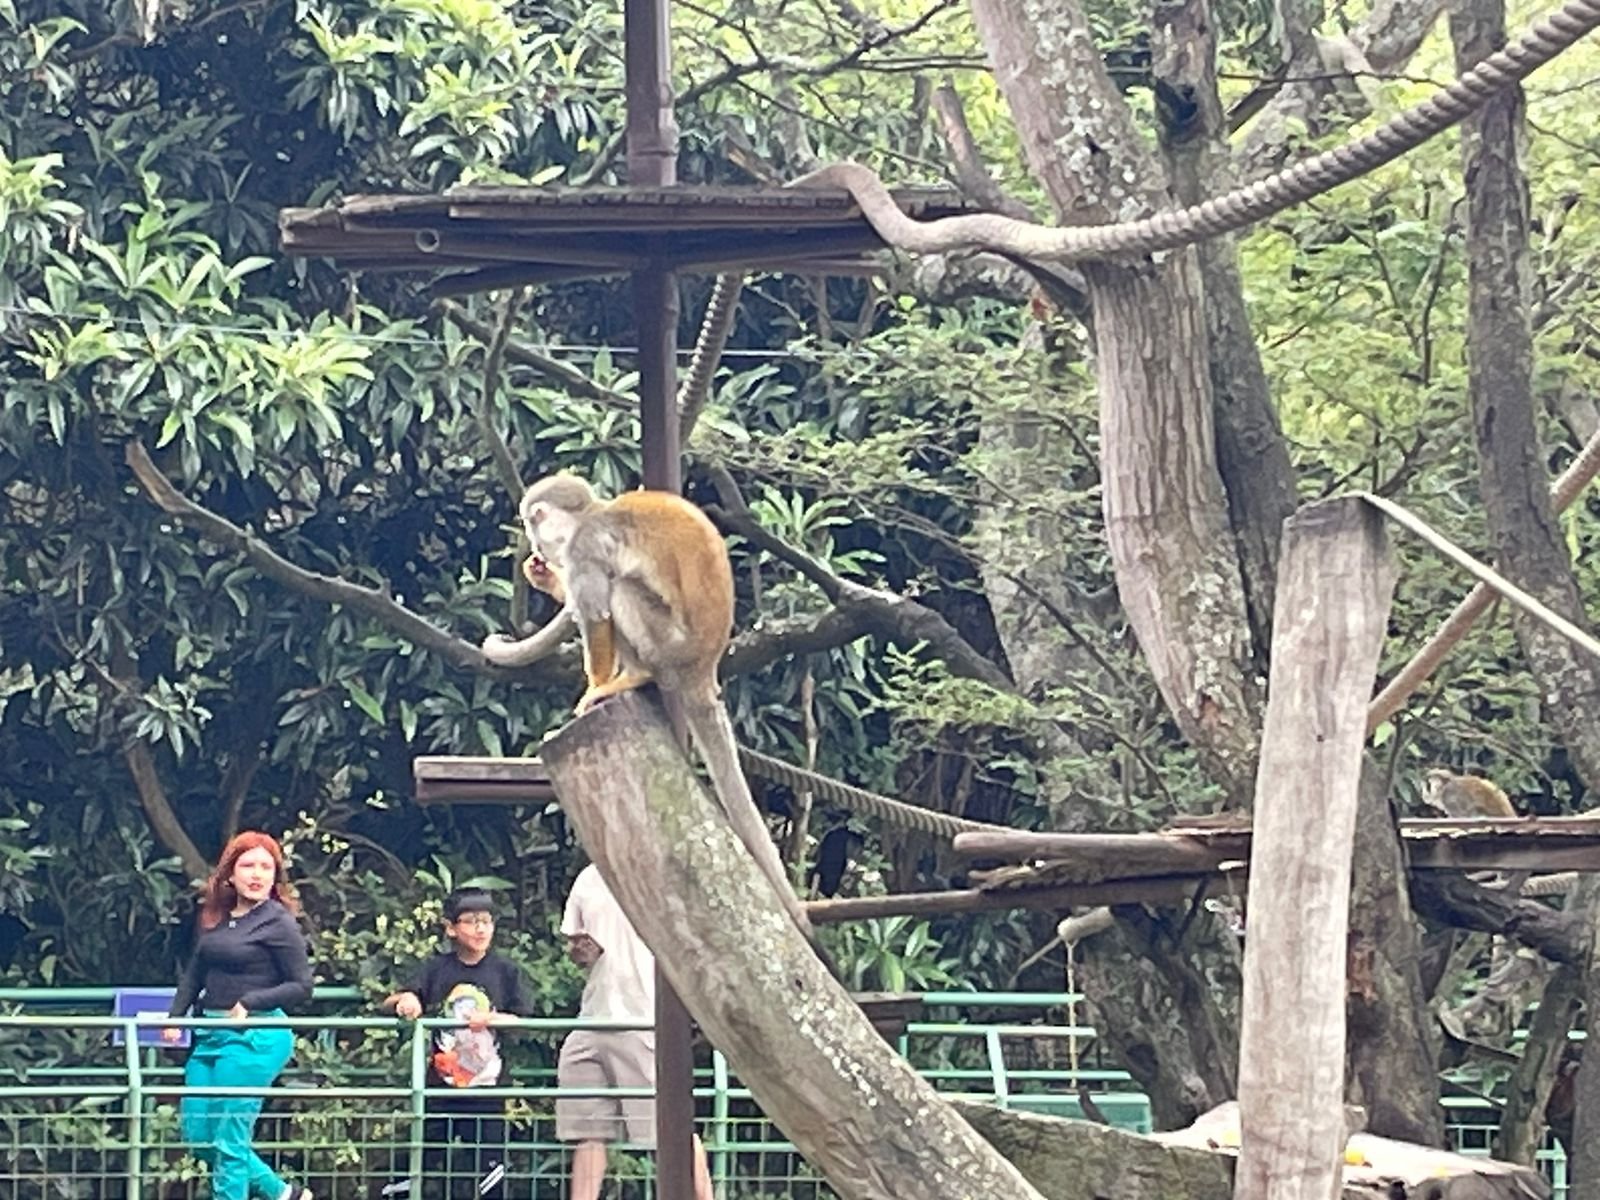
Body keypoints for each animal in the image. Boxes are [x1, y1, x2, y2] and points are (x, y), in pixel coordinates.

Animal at [499, 473, 821, 949]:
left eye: (531, 523)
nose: (537, 548)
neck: (587, 518)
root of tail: (703, 670)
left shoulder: (585, 547)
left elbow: (597, 612)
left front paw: (595, 685)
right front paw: (545, 579)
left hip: (670, 645)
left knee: (621, 588)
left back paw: (633, 676)